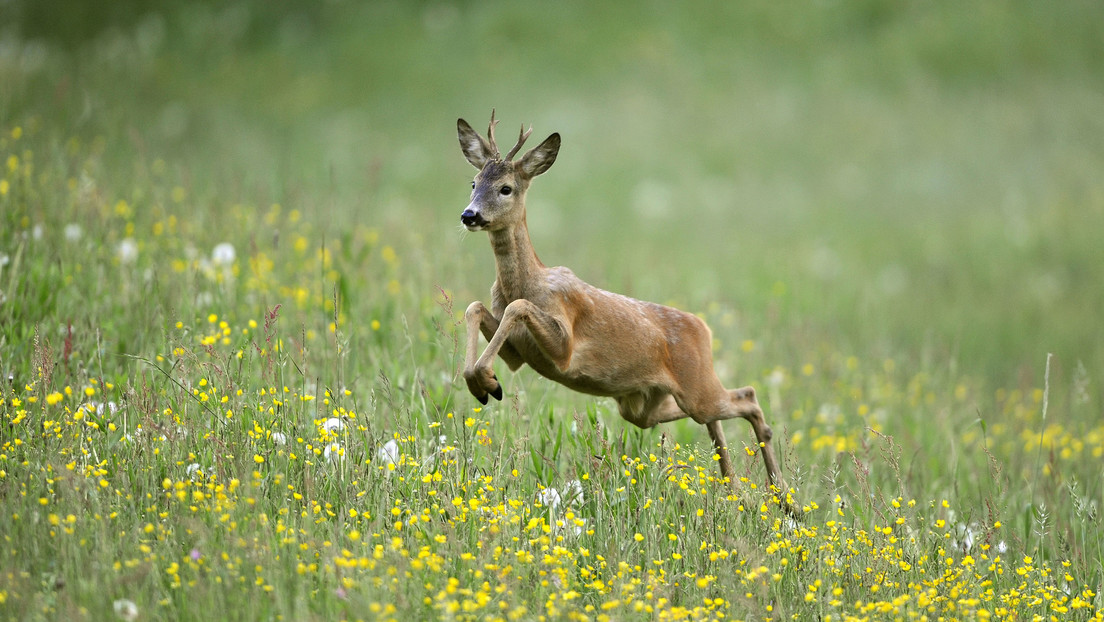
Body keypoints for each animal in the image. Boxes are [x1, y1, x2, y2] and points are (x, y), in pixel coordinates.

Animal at [457, 110, 794, 510]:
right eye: (473, 182)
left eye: (506, 187)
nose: (469, 214)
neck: (528, 281)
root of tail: (704, 329)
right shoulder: (518, 353)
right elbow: (475, 306)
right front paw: (481, 382)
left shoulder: (564, 348)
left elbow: (517, 308)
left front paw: (486, 381)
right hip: (642, 404)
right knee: (710, 415)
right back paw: (734, 488)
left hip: (694, 388)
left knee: (748, 397)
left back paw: (783, 498)